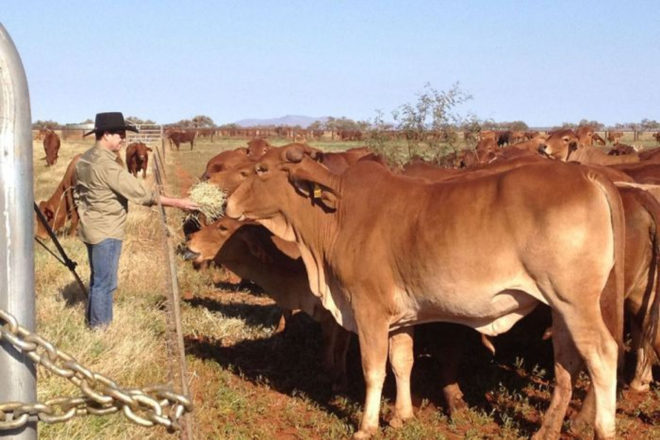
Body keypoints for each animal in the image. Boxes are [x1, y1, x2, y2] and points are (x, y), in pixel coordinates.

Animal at [225, 144, 625, 439]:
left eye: (261, 170)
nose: (227, 203)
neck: (337, 216)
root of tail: (588, 175)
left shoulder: (369, 310)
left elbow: (373, 369)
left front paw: (367, 426)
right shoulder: (401, 317)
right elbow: (402, 362)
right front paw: (401, 415)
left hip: (576, 301)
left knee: (603, 354)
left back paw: (603, 429)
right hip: (560, 307)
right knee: (567, 361)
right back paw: (546, 429)